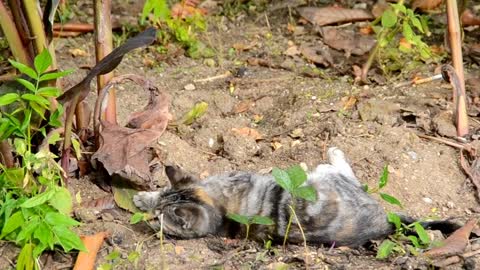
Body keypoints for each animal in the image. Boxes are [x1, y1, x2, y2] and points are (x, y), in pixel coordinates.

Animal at [132, 148, 458, 247]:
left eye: (159, 220)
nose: (148, 221)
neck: (220, 212)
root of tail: (385, 223)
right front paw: (144, 198)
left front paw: (143, 197)